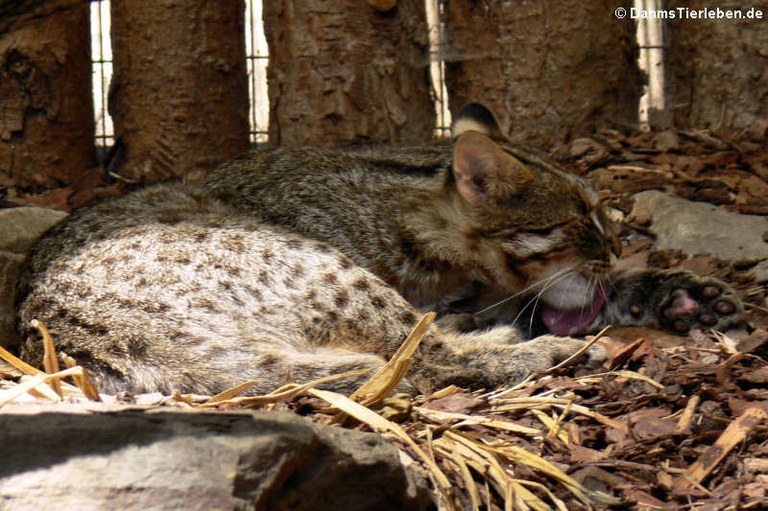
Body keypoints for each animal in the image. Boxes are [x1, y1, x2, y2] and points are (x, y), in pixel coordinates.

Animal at [16, 104, 736, 396]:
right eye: (584, 219)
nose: (616, 245)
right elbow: (429, 345)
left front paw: (674, 291)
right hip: (327, 270)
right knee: (423, 361)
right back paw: (533, 351)